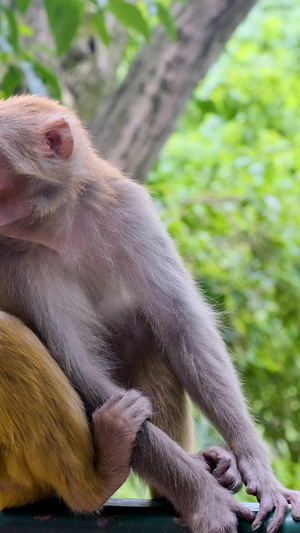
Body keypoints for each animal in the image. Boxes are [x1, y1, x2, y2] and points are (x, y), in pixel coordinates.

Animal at [0, 95, 298, 532]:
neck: (55, 221)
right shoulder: (19, 259)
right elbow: (82, 369)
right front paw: (204, 498)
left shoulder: (126, 206)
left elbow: (181, 326)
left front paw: (257, 467)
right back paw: (101, 477)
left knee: (143, 331)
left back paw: (191, 477)